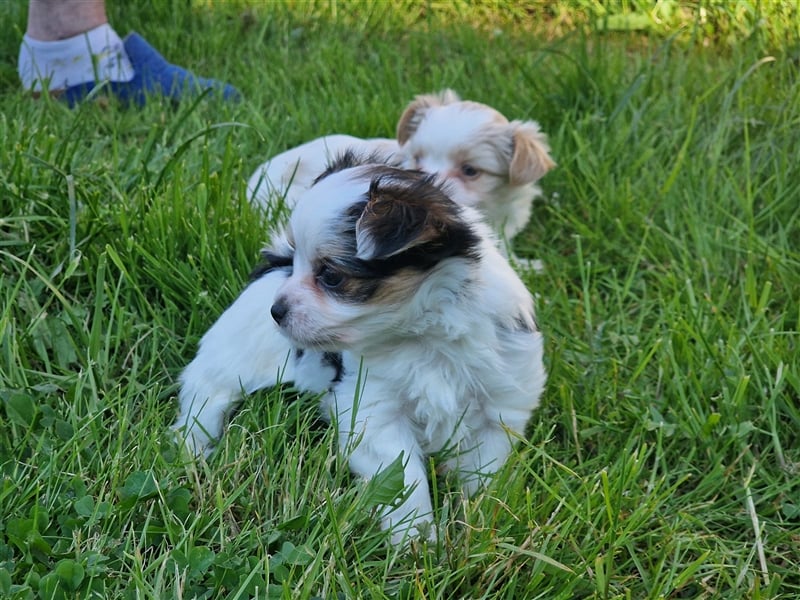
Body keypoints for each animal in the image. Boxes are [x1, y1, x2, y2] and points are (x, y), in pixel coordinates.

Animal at [173, 152, 552, 540]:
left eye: (331, 275)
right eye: (299, 262)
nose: (276, 311)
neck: (424, 333)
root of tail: (275, 265)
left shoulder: (500, 406)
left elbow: (483, 473)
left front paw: (476, 524)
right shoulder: (374, 410)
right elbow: (404, 478)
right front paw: (417, 539)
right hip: (238, 350)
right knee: (208, 391)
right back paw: (196, 445)